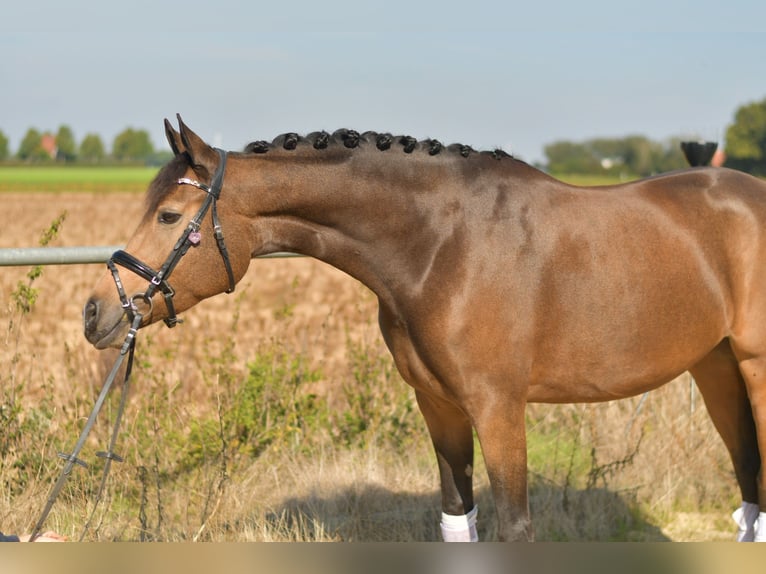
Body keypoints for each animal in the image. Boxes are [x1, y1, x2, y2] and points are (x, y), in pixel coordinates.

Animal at [83, 116, 766, 542]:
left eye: (170, 216)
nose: (96, 313)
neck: (441, 246)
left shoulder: (498, 408)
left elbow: (515, 527)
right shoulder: (439, 406)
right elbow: (457, 519)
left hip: (753, 370)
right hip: (716, 368)